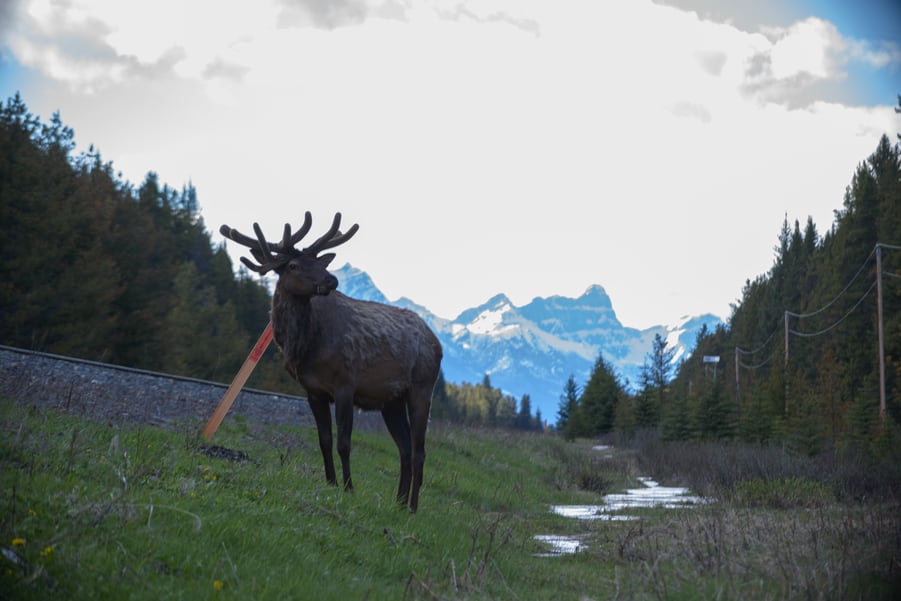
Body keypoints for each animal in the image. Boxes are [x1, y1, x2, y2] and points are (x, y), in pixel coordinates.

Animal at [220, 211, 442, 510]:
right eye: (293, 265)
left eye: (318, 260)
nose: (331, 280)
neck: (306, 347)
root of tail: (437, 344)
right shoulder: (313, 391)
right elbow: (324, 440)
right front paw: (330, 482)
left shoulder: (346, 384)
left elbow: (343, 443)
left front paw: (349, 488)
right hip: (391, 401)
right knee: (405, 449)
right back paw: (397, 502)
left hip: (422, 387)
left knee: (419, 451)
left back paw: (412, 507)